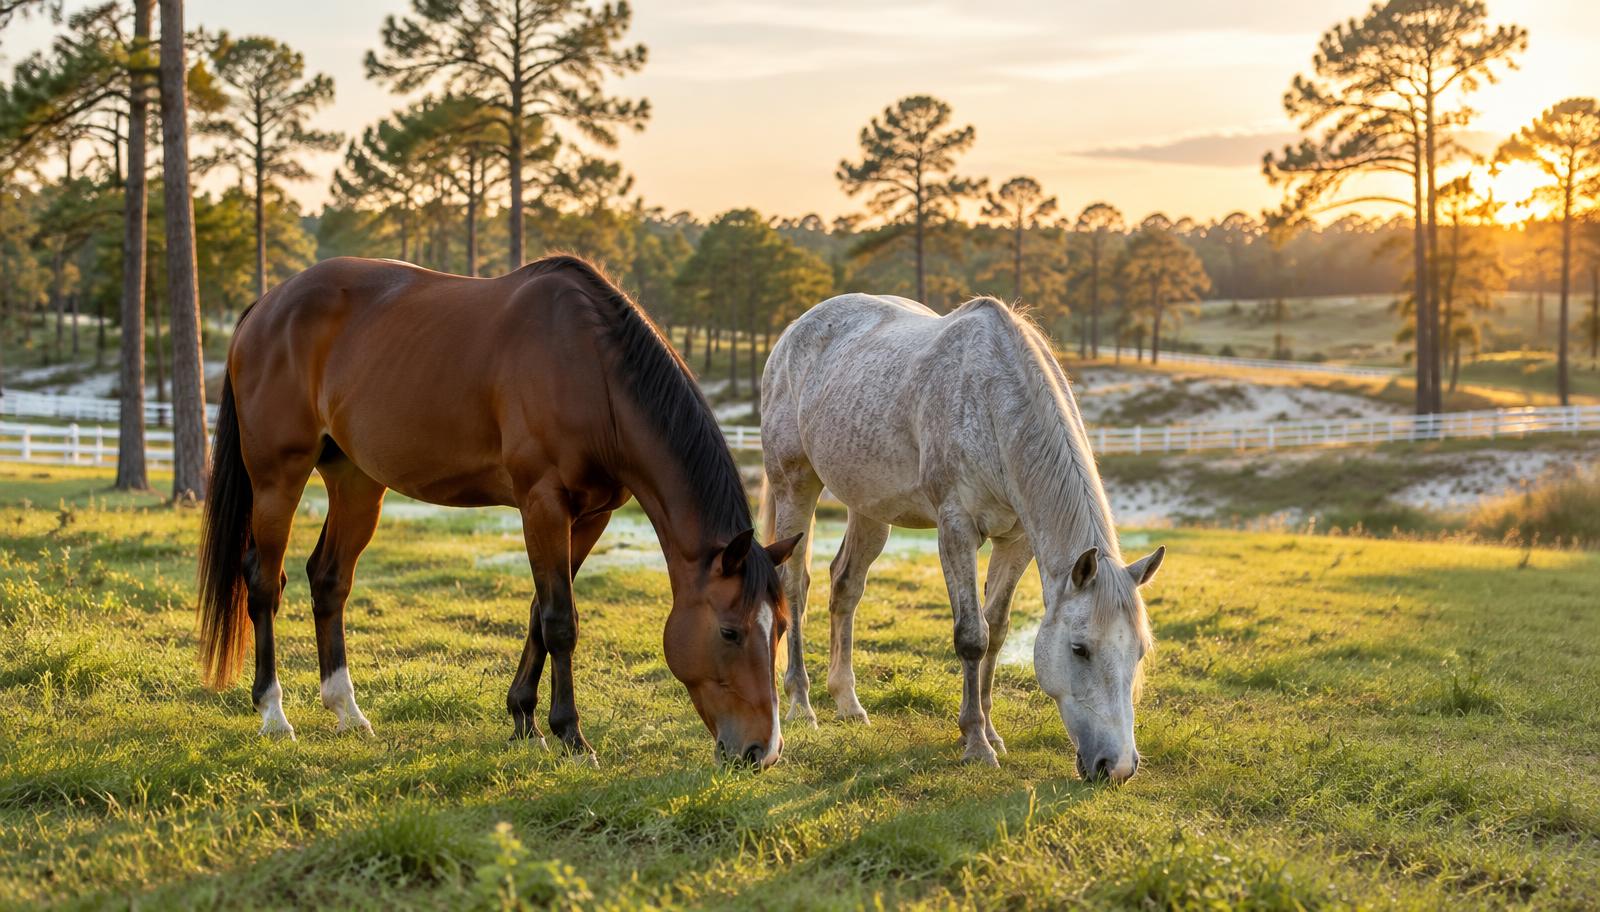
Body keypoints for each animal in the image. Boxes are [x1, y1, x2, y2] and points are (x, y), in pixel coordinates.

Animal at [196, 254, 802, 768]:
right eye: (730, 632)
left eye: (779, 629)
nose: (763, 751)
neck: (591, 368)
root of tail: (266, 307)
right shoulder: (543, 503)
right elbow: (560, 620)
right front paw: (570, 735)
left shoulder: (591, 516)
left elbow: (539, 612)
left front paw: (523, 721)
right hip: (277, 478)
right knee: (263, 583)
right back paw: (274, 715)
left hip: (356, 481)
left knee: (328, 580)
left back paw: (347, 711)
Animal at [760, 293, 1162, 777]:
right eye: (1080, 649)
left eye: (1139, 651)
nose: (1117, 767)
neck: (992, 404)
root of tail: (793, 331)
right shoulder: (956, 529)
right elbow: (973, 636)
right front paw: (975, 742)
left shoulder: (1016, 542)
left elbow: (998, 630)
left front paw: (990, 731)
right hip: (795, 486)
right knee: (795, 587)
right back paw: (801, 704)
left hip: (869, 508)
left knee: (845, 586)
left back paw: (848, 702)